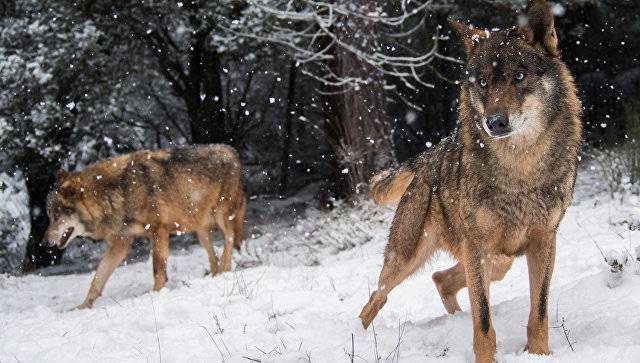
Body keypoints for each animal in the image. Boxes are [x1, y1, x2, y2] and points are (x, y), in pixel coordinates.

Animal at [44, 144, 245, 310]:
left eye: (57, 217)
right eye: (49, 217)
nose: (44, 243)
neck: (117, 192)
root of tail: (231, 151)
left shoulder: (158, 230)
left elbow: (158, 269)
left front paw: (155, 294)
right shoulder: (120, 243)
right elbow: (97, 279)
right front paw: (82, 306)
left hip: (221, 216)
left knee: (230, 237)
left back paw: (225, 268)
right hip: (200, 230)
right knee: (213, 254)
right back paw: (217, 274)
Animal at [358, 1, 584, 362]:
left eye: (519, 76)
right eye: (482, 82)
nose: (495, 122)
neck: (520, 169)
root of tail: (427, 156)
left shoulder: (545, 240)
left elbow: (539, 314)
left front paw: (539, 355)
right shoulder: (477, 246)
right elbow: (485, 324)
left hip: (481, 258)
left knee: (441, 278)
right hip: (408, 258)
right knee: (375, 299)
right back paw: (358, 338)